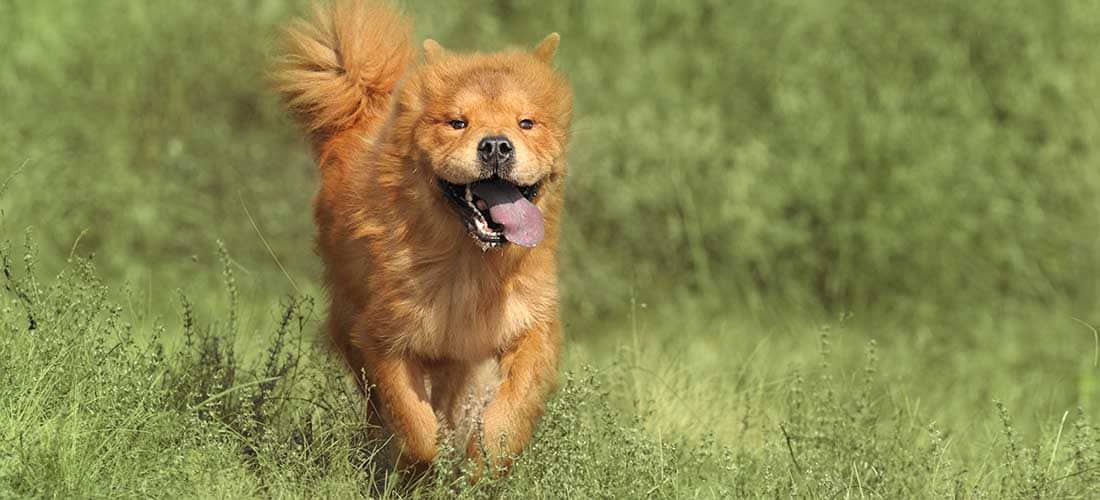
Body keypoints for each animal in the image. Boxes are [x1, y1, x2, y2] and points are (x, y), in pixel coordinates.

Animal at [273, 0, 572, 472]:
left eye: (527, 123)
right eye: (457, 123)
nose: (496, 145)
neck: (471, 264)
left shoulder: (531, 324)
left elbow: (511, 408)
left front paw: (482, 464)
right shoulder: (383, 335)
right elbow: (414, 424)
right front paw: (422, 468)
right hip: (351, 321)